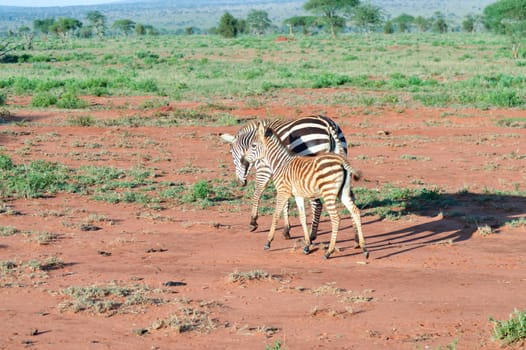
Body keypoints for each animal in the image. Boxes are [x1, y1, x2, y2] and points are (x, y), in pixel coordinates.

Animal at [243, 121, 368, 260]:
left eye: (253, 145)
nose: (244, 161)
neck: (280, 163)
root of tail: (341, 161)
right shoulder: (298, 195)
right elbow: (302, 218)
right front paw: (307, 245)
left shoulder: (282, 191)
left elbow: (275, 214)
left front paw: (268, 241)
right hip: (343, 193)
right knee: (355, 211)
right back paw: (363, 248)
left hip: (328, 193)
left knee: (336, 218)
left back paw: (329, 252)